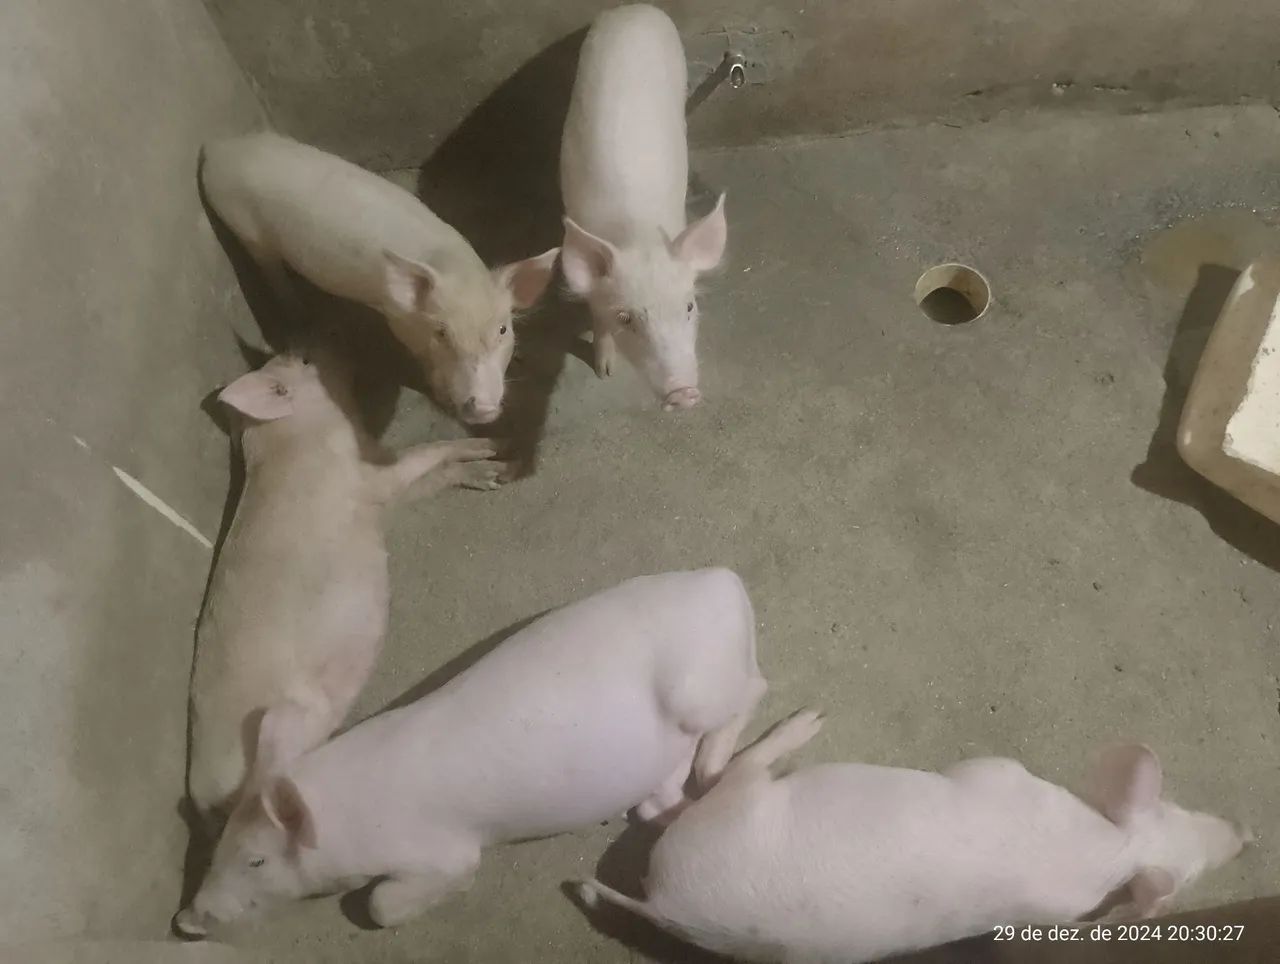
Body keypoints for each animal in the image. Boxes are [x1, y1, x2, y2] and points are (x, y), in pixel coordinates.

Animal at [174, 568, 766, 936]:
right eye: (221, 844)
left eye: (256, 859)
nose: (188, 918)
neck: (350, 821)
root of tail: (725, 581)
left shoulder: (448, 852)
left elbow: (384, 902)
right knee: (658, 800)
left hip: (702, 688)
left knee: (754, 689)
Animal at [187, 348, 508, 822]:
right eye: (302, 359)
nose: (332, 343)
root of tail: (204, 798)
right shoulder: (369, 475)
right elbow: (424, 453)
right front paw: (493, 450)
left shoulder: (384, 494)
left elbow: (431, 475)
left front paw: (496, 466)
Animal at [200, 132, 559, 424]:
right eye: (441, 333)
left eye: (503, 329)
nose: (483, 407)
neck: (457, 272)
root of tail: (216, 149)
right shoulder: (398, 321)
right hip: (245, 230)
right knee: (269, 268)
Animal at [560, 4, 728, 411]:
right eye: (626, 318)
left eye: (689, 307)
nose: (684, 394)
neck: (637, 235)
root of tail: (634, 8)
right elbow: (597, 320)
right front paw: (604, 372)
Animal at [577, 711, 1248, 964]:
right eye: (1180, 807)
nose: (1245, 831)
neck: (1110, 853)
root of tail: (666, 905)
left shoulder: (993, 772)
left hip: (737, 808)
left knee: (708, 779)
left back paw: (803, 720)